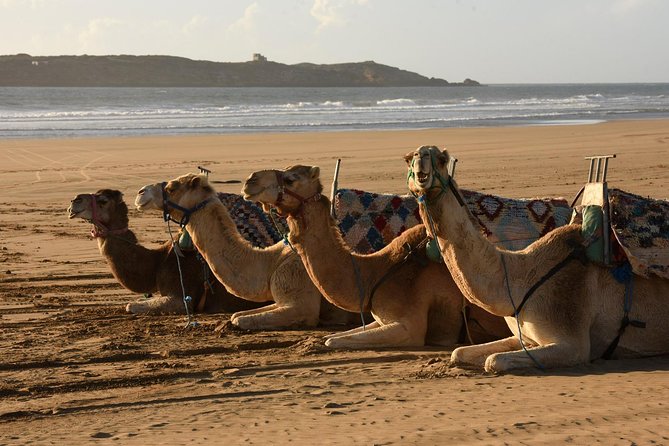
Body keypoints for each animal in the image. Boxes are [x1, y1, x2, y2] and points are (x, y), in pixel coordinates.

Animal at [133, 176, 358, 330]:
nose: (140, 192)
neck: (270, 262)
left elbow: (240, 320)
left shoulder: (300, 299)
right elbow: (237, 315)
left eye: (171, 188)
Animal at [243, 165, 508, 348]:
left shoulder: (408, 326)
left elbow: (333, 341)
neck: (377, 270)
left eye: (290, 179)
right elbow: (336, 336)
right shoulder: (379, 318)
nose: (249, 181)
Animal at [404, 146, 668, 372]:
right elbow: (459, 352)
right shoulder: (524, 336)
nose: (420, 158)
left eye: (441, 159)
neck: (521, 278)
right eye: (408, 158)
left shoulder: (573, 344)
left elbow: (494, 361)